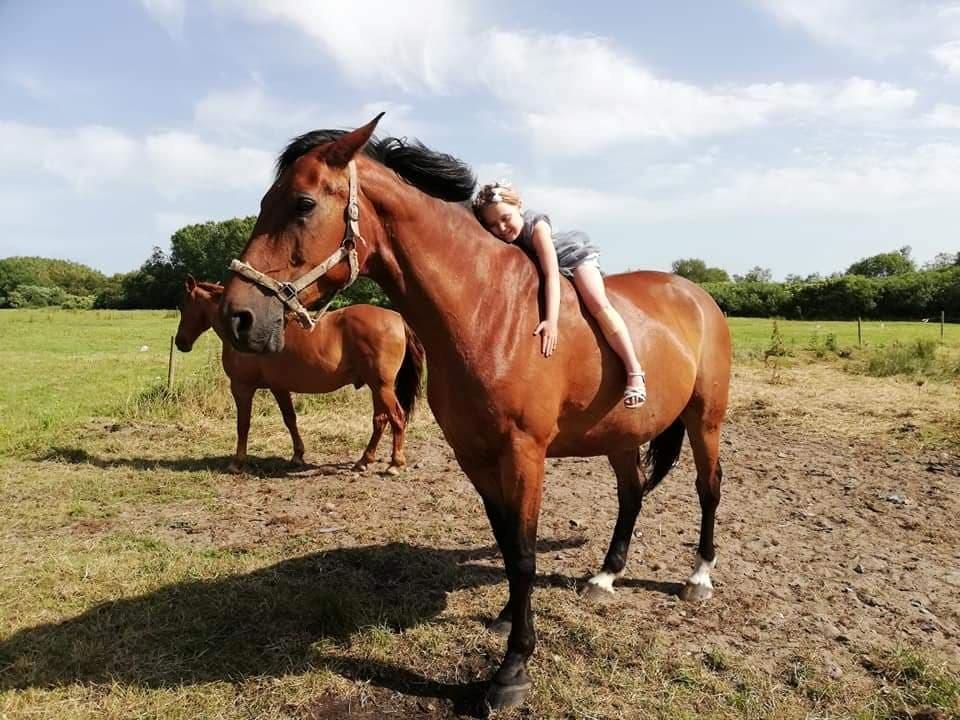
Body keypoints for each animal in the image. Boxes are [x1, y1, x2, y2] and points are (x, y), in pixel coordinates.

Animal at [177, 276, 424, 472]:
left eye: (183, 305)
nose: (180, 342)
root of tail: (397, 318)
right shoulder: (279, 387)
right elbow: (290, 419)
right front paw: (298, 455)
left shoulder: (242, 387)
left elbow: (243, 424)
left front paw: (237, 462)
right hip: (376, 387)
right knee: (380, 420)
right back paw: (364, 460)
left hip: (382, 386)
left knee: (397, 417)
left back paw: (395, 463)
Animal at [221, 118, 732, 708]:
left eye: (302, 204)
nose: (238, 317)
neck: (488, 310)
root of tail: (697, 294)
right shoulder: (474, 454)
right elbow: (508, 543)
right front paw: (509, 616)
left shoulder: (523, 454)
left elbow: (526, 553)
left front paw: (513, 669)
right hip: (621, 435)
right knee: (631, 494)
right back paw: (605, 576)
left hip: (705, 421)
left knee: (708, 488)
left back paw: (698, 578)